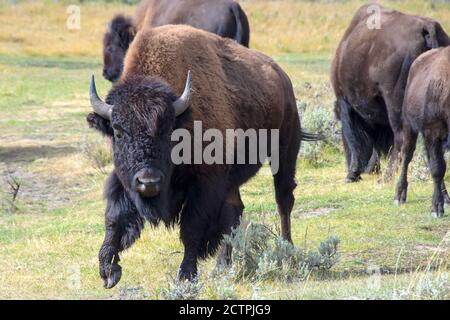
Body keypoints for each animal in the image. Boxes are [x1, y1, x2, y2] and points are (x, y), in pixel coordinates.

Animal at [86, 25, 314, 288]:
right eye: (118, 131)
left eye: (168, 130)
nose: (149, 181)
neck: (182, 118)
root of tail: (282, 77)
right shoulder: (125, 180)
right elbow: (114, 219)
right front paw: (108, 271)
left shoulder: (205, 184)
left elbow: (191, 229)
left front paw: (185, 276)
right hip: (233, 178)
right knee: (235, 210)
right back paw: (223, 266)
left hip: (284, 151)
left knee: (283, 199)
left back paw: (288, 250)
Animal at [330, 3, 450, 182]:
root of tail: (426, 27)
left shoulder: (346, 102)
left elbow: (354, 137)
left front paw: (352, 174)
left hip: (395, 102)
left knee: (400, 137)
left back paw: (385, 178)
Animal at [394, 47, 450, 218]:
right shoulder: (433, 131)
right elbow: (438, 168)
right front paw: (436, 208)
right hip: (409, 127)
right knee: (407, 155)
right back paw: (399, 195)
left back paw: (446, 198)